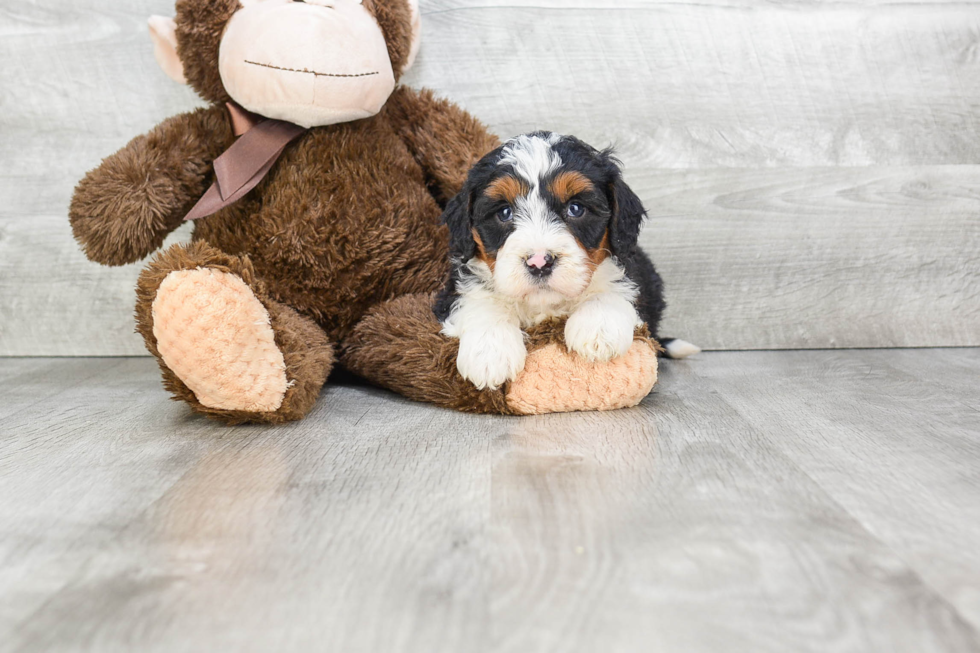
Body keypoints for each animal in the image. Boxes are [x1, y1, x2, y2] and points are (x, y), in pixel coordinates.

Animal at [436, 130, 696, 390]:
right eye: (504, 212)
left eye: (576, 208)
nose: (539, 262)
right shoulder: (451, 291)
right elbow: (480, 301)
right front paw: (490, 352)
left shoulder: (631, 269)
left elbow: (613, 288)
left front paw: (598, 328)